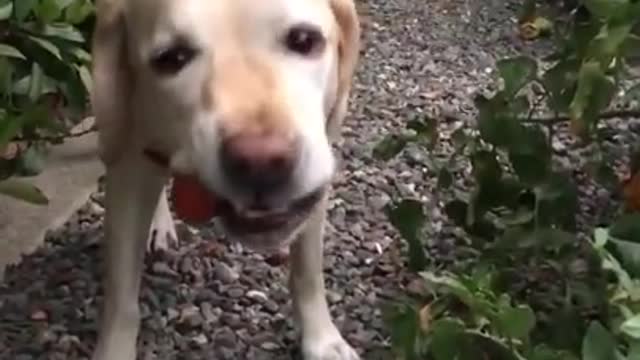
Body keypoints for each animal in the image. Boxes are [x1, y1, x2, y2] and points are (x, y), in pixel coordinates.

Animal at [87, 0, 362, 358]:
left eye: (304, 39)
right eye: (170, 58)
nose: (261, 163)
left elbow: (308, 271)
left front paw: (322, 340)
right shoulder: (128, 163)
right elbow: (122, 298)